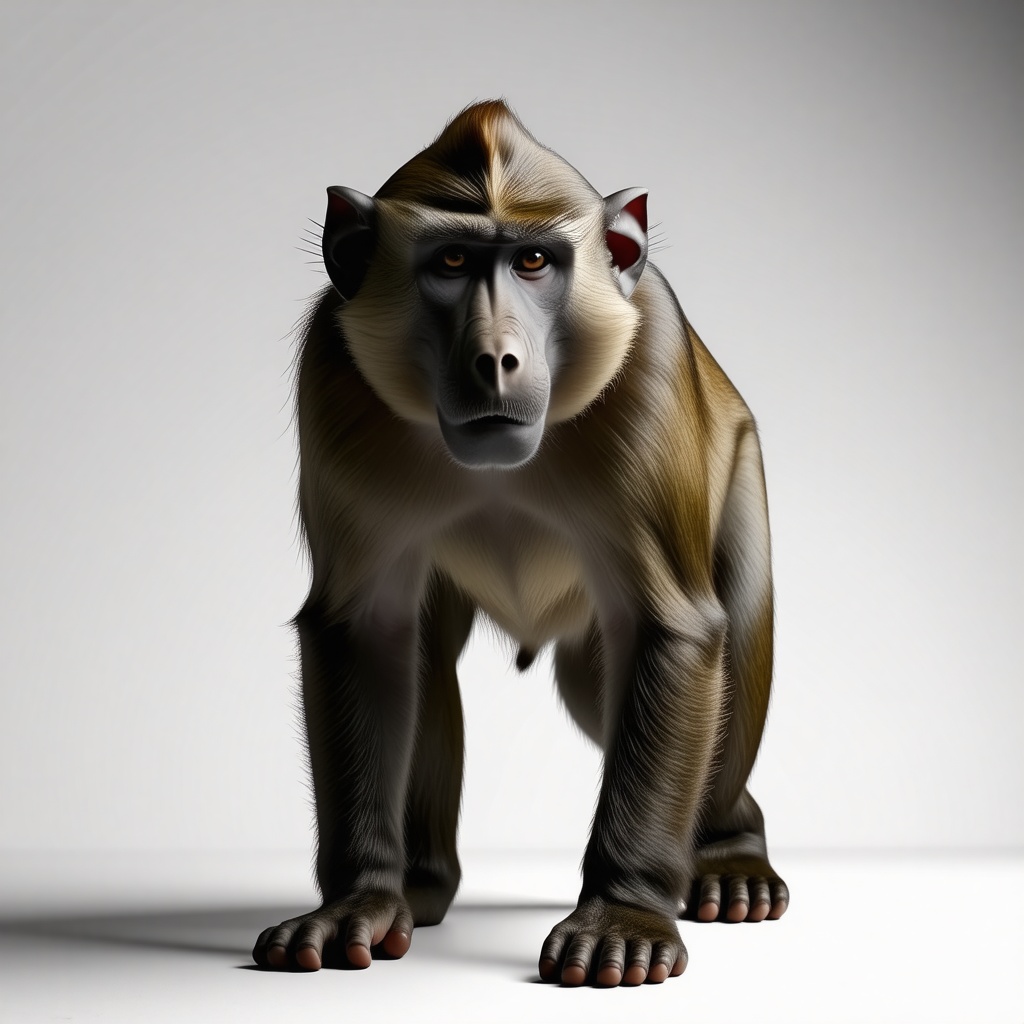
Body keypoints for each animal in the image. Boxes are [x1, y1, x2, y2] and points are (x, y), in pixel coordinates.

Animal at [252, 100, 788, 987]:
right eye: (452, 259)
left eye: (534, 260)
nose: (494, 358)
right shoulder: (335, 380)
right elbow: (366, 631)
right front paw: (359, 898)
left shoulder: (646, 370)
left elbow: (672, 628)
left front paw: (622, 912)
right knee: (430, 655)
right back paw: (419, 884)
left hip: (741, 472)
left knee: (687, 657)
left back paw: (726, 849)